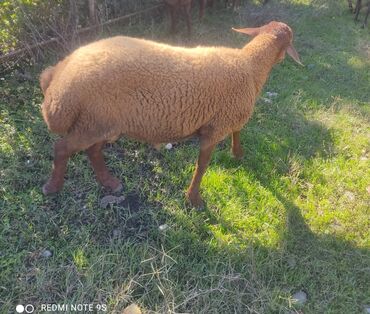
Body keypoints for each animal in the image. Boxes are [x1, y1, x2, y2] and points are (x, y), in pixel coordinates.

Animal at [39, 22, 300, 209]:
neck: (250, 66)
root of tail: (57, 77)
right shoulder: (215, 127)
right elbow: (202, 166)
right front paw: (194, 199)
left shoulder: (226, 118)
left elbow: (237, 131)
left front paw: (237, 153)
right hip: (92, 121)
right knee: (62, 149)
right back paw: (52, 187)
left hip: (99, 121)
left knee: (93, 151)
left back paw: (110, 183)